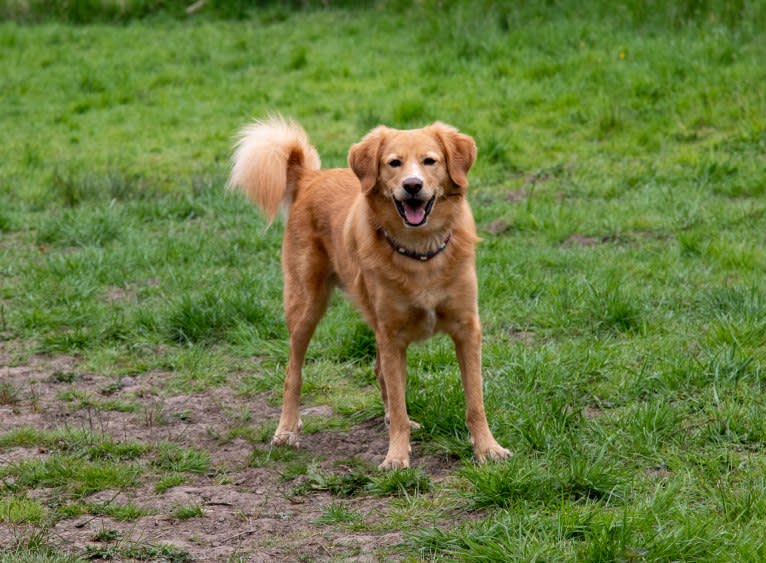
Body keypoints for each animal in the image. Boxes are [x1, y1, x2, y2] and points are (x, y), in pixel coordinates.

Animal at [231, 117, 512, 470]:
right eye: (394, 163)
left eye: (429, 161)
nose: (412, 185)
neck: (421, 253)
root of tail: (311, 177)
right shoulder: (392, 334)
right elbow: (399, 399)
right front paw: (397, 456)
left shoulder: (467, 330)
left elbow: (475, 401)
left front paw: (488, 449)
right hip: (306, 308)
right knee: (292, 373)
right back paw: (286, 429)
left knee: (381, 375)